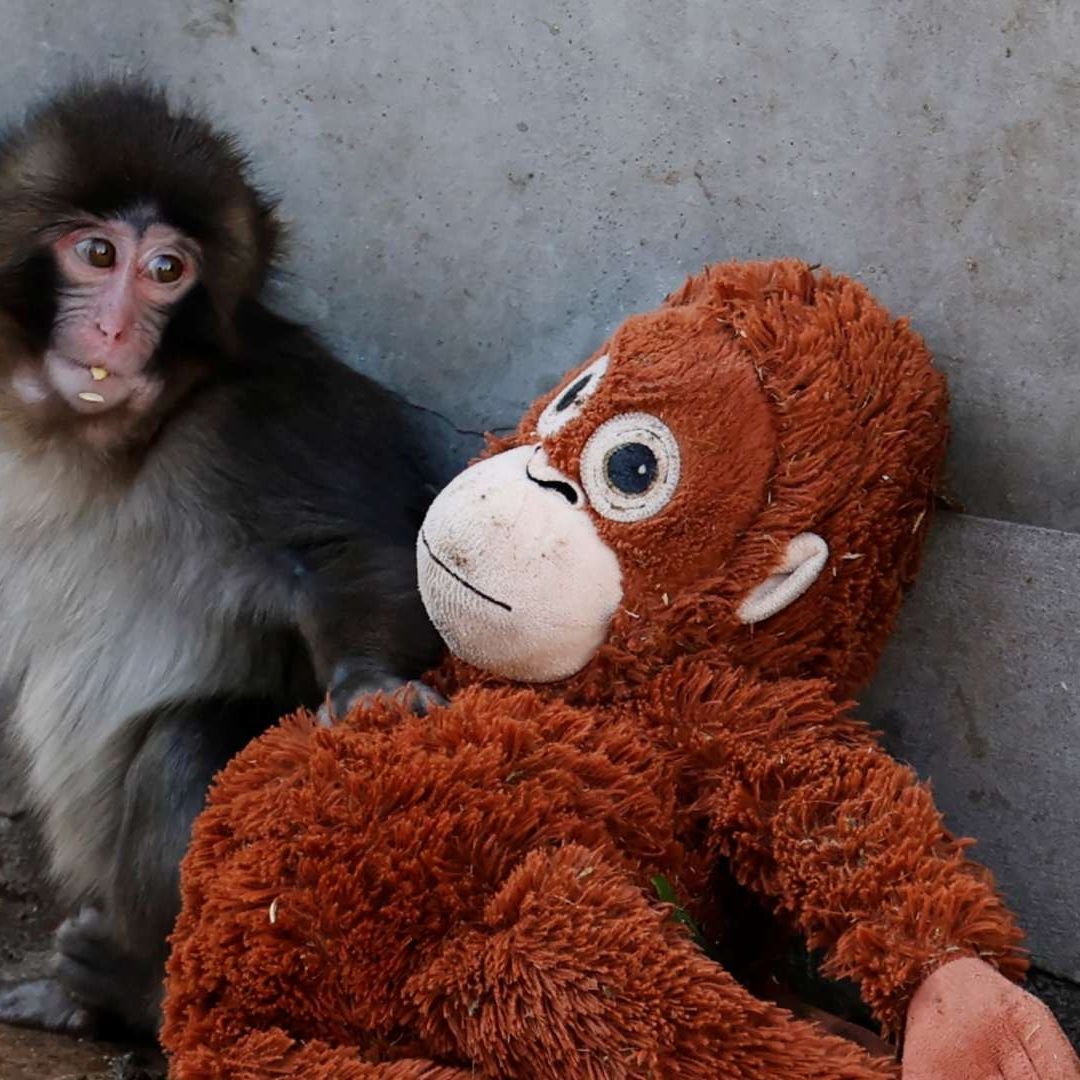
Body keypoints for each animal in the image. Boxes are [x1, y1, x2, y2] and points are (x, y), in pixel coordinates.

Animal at [0, 80, 443, 1040]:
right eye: (98, 253)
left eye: (168, 270)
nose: (115, 328)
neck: (93, 443)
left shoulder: (264, 420)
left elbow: (351, 552)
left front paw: (370, 687)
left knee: (188, 745)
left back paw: (134, 990)